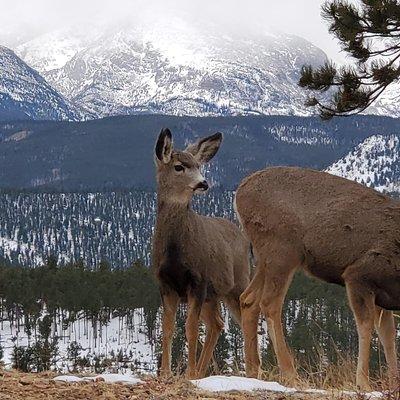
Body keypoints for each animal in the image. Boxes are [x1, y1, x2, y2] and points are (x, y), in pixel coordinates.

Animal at [153, 128, 250, 378]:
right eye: (179, 166)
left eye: (198, 165)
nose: (203, 183)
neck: (176, 252)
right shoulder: (164, 283)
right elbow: (167, 328)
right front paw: (166, 373)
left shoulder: (198, 280)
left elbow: (191, 329)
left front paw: (187, 373)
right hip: (213, 295)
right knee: (217, 324)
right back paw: (201, 371)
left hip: (236, 284)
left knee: (247, 318)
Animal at [236, 166, 398, 390]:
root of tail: (239, 193)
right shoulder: (359, 275)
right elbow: (366, 326)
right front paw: (363, 383)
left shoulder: (382, 295)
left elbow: (388, 335)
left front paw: (394, 382)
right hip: (282, 250)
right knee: (269, 303)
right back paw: (290, 374)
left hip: (264, 258)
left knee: (248, 299)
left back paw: (253, 371)